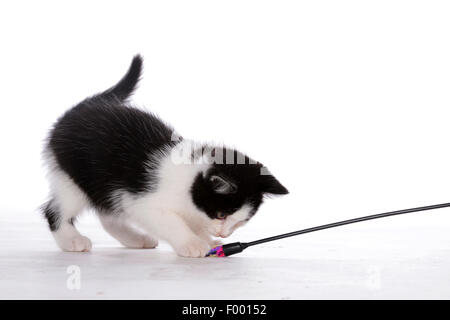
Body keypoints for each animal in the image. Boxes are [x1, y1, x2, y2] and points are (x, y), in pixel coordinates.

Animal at [42, 56, 288, 258]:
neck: (187, 182)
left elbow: (196, 223)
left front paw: (208, 241)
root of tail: (75, 111)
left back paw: (136, 239)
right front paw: (192, 244)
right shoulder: (142, 201)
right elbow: (172, 222)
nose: (224, 234)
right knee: (55, 210)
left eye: (242, 221)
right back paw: (71, 240)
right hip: (72, 178)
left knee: (108, 215)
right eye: (220, 214)